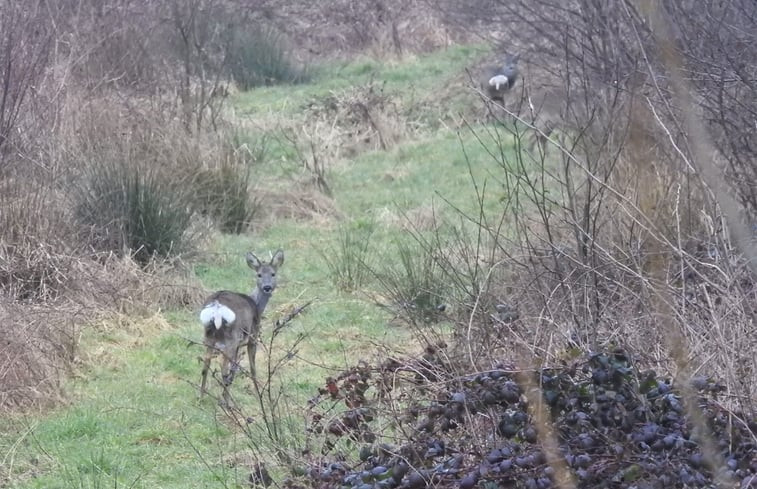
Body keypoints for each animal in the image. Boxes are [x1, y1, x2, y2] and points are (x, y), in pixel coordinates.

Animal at [198, 248, 284, 404]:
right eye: (259, 274)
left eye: (273, 274)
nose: (267, 287)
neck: (257, 305)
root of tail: (216, 306)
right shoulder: (253, 337)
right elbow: (252, 367)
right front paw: (258, 393)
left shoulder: (239, 345)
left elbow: (235, 367)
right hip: (231, 337)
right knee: (223, 366)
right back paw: (226, 402)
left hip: (209, 336)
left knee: (206, 363)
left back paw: (201, 398)